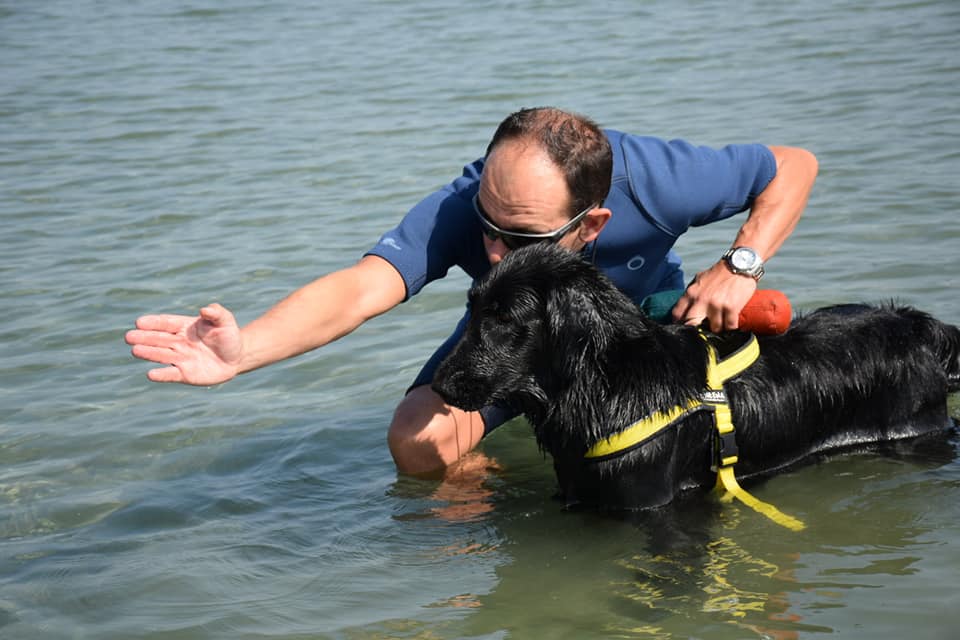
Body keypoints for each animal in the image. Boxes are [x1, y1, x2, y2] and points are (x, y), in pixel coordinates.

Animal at [436, 242, 960, 516]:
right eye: (473, 309)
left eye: (504, 318)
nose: (440, 385)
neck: (607, 386)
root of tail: (917, 324)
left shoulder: (652, 505)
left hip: (916, 430)